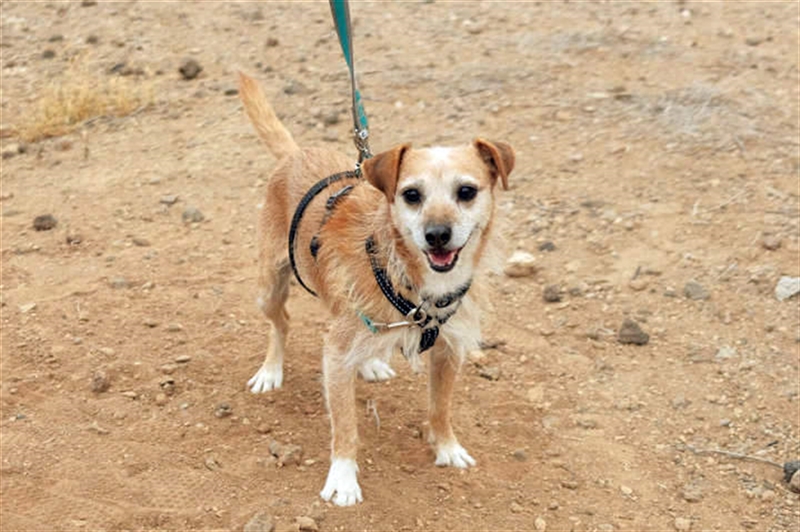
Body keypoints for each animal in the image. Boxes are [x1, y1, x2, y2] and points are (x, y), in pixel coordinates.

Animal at [238, 73, 514, 506]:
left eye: (467, 192)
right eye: (411, 195)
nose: (438, 234)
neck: (411, 277)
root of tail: (295, 154)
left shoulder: (449, 350)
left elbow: (441, 407)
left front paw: (447, 447)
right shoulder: (334, 355)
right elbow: (345, 424)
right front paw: (343, 477)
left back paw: (369, 362)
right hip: (270, 287)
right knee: (280, 323)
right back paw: (271, 370)